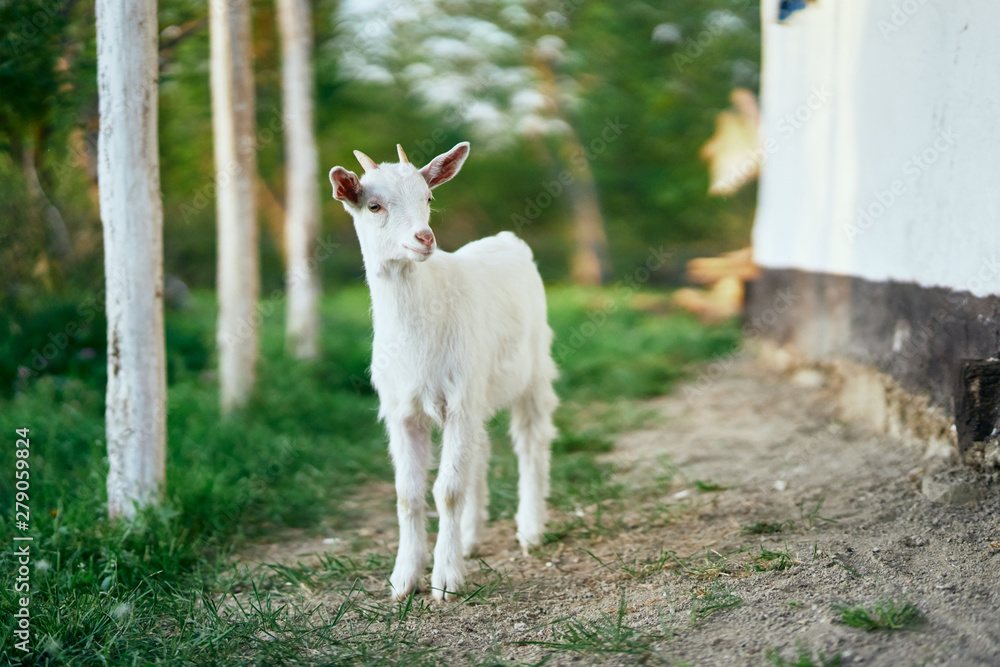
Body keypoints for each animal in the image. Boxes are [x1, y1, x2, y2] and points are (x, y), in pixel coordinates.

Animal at [329, 142, 559, 601]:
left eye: (429, 198)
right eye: (374, 205)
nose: (424, 238)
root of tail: (505, 239)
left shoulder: (459, 401)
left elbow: (447, 491)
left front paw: (447, 581)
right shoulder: (402, 409)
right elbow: (408, 493)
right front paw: (403, 578)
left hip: (533, 369)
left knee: (531, 441)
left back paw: (530, 529)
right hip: (479, 390)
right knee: (480, 452)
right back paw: (471, 538)